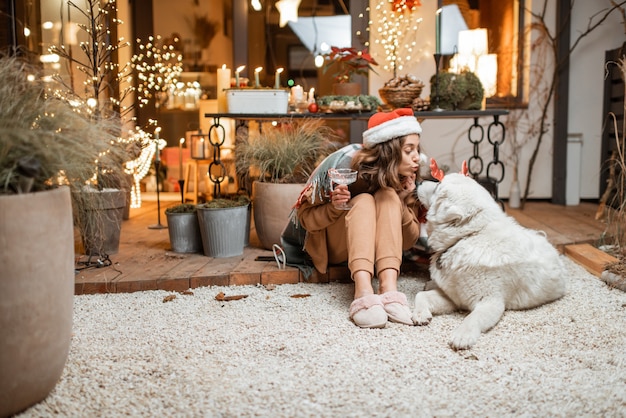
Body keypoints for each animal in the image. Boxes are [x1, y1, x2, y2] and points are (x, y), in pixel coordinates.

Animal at [412, 170, 568, 350]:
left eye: (438, 186)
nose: (417, 182)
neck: (468, 236)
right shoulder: (454, 297)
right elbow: (421, 296)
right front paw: (420, 314)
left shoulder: (491, 302)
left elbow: (472, 318)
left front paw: (462, 336)